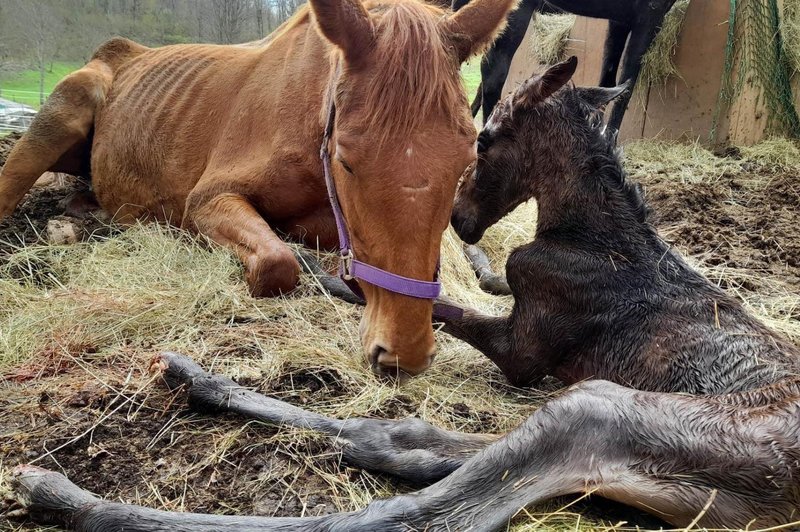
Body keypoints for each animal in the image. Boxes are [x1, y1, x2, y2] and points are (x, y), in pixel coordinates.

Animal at [0, 0, 516, 378]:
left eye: (465, 162)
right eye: (346, 161)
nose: (403, 353)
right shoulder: (207, 199)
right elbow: (276, 263)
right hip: (61, 116)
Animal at [12, 58, 800, 528]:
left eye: (485, 138)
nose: (459, 217)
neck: (595, 235)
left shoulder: (524, 351)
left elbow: (444, 307)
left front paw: (340, 275)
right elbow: (475, 281)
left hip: (600, 410)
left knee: (415, 505)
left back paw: (61, 492)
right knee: (401, 438)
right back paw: (192, 379)